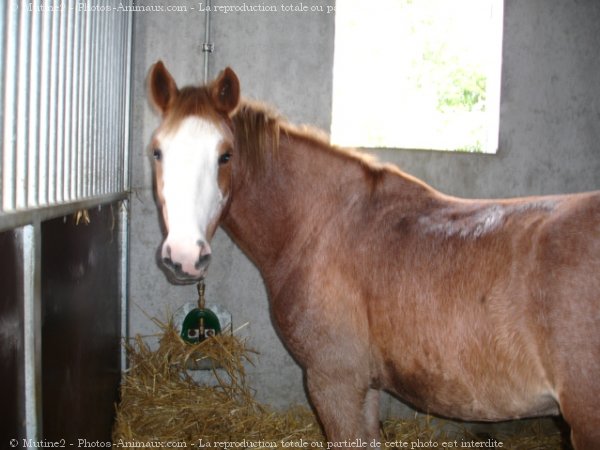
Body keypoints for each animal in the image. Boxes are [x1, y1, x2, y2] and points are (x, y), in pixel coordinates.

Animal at [146, 61, 600, 448]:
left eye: (225, 155)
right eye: (158, 151)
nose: (184, 256)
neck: (323, 225)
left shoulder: (334, 383)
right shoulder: (365, 388)